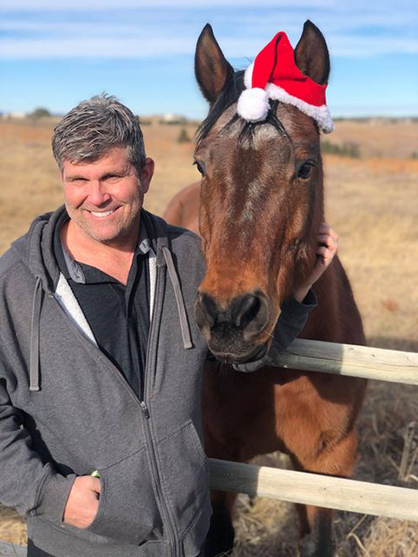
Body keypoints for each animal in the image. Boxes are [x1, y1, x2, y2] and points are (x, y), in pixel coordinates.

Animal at [165, 20, 368, 556]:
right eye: (201, 164)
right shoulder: (220, 463)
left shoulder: (330, 465)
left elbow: (319, 535)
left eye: (305, 166)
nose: (229, 315)